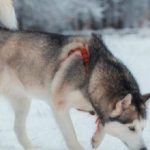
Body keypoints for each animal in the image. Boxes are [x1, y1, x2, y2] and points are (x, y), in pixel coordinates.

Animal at [0, 0, 150, 150]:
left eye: (143, 128)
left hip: (22, 100)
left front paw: (97, 138)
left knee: (18, 129)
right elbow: (71, 136)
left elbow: (103, 123)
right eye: (131, 128)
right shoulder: (59, 106)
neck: (91, 75)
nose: (143, 148)